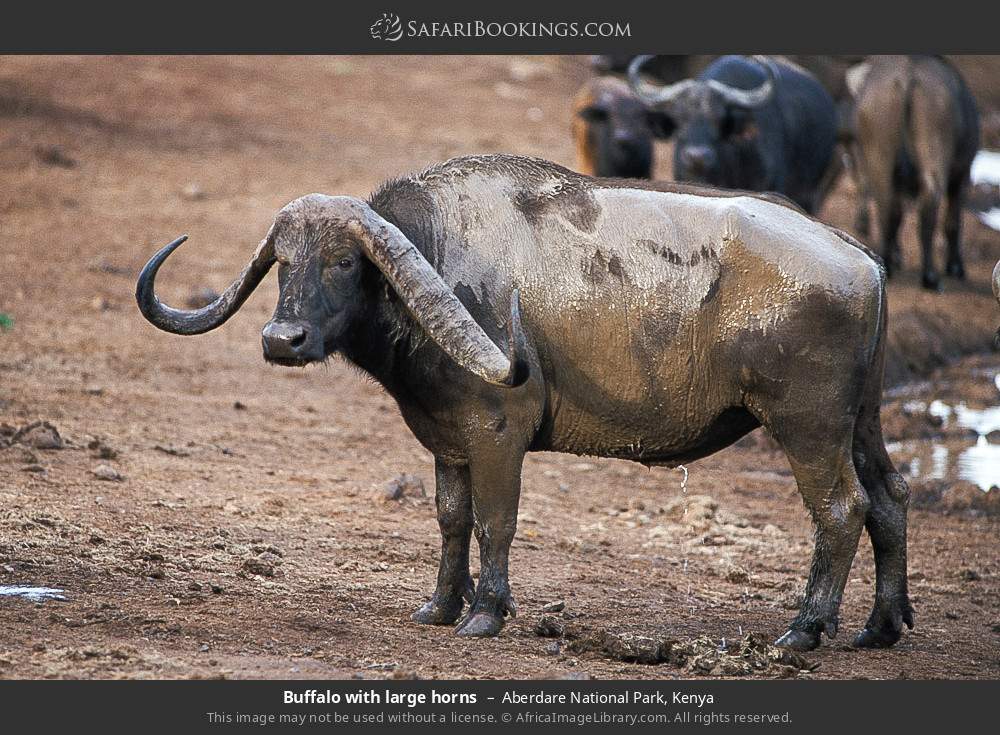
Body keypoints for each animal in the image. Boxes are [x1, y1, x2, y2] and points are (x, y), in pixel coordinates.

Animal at [136, 154, 912, 651]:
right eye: (284, 263)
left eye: (344, 260)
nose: (282, 340)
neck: (438, 259)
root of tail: (861, 259)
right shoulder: (448, 441)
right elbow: (451, 520)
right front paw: (439, 606)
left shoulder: (496, 433)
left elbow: (495, 522)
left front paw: (485, 613)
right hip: (861, 424)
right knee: (890, 500)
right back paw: (881, 626)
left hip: (807, 427)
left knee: (842, 510)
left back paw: (805, 629)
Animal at [852, 55, 980, 290]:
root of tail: (909, 75)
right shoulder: (962, 175)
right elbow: (953, 222)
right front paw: (955, 266)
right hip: (935, 150)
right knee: (929, 205)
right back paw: (930, 275)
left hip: (879, 157)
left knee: (888, 207)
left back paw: (887, 260)